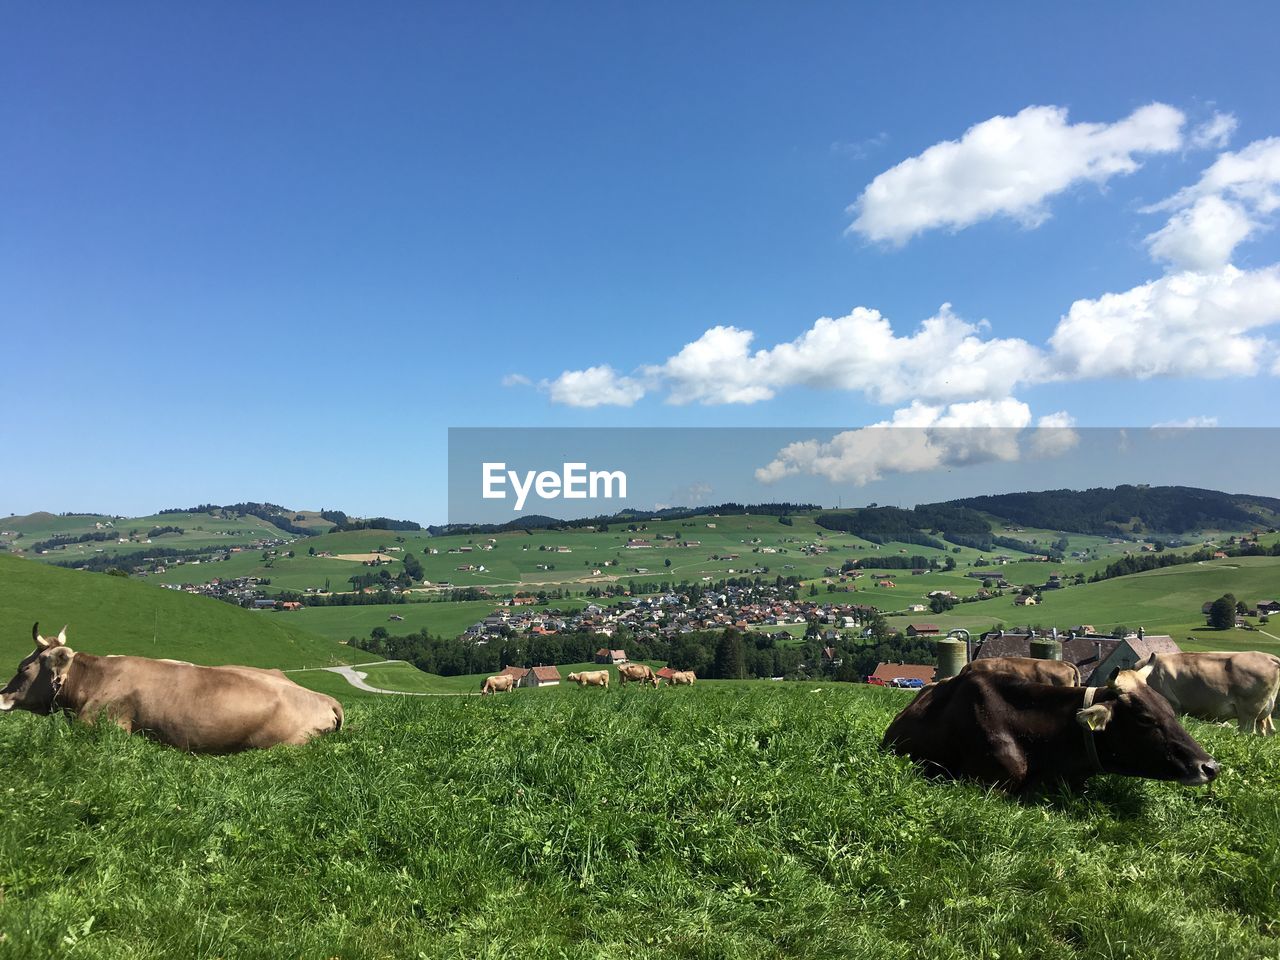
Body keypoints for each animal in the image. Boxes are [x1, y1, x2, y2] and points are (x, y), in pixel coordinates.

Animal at [1131, 655, 1280, 737]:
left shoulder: (1173, 706)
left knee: (1248, 732)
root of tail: (1267, 656)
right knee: (1268, 731)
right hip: (1263, 713)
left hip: (1248, 713)